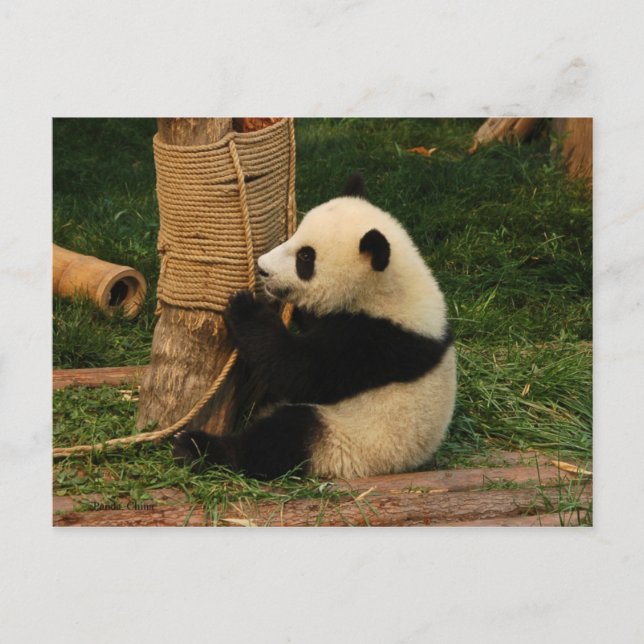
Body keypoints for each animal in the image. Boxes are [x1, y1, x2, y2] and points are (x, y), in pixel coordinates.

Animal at [173, 176, 456, 480]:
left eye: (306, 257)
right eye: (296, 235)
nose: (263, 269)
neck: (387, 287)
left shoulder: (377, 341)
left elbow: (302, 372)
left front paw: (246, 308)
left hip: (348, 442)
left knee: (284, 436)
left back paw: (198, 448)